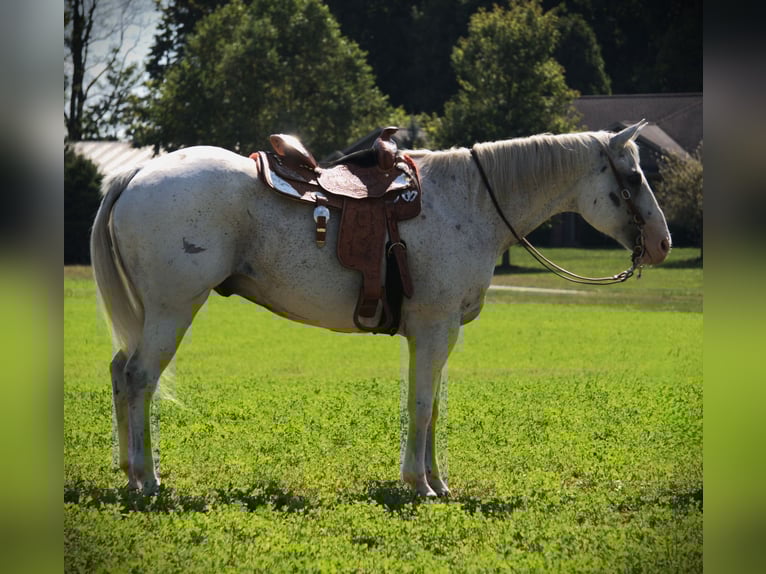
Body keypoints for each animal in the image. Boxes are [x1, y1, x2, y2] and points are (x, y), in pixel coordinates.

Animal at [90, 121, 671, 497]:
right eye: (634, 178)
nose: (663, 244)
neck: (470, 203)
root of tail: (135, 175)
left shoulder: (438, 335)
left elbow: (432, 406)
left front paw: (437, 481)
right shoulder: (434, 329)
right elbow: (421, 406)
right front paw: (419, 485)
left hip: (151, 314)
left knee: (120, 372)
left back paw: (127, 470)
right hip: (172, 309)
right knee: (139, 378)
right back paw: (146, 478)